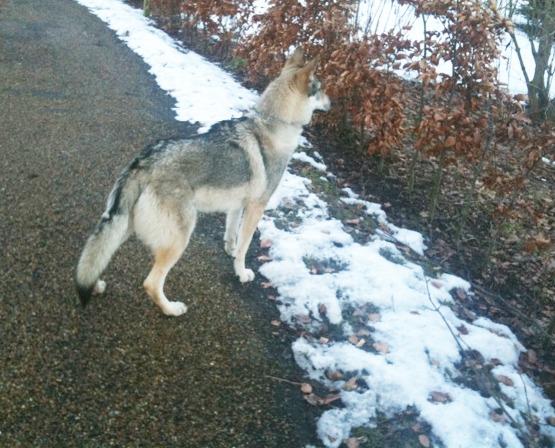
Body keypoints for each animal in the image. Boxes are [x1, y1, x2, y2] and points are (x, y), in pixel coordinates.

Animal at [76, 47, 332, 316]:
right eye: (321, 88)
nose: (332, 102)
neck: (273, 123)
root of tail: (142, 163)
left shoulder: (237, 205)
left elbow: (232, 235)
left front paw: (230, 251)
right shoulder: (256, 207)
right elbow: (245, 246)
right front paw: (242, 273)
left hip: (123, 226)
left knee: (94, 256)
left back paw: (96, 286)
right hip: (179, 238)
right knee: (151, 283)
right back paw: (172, 309)